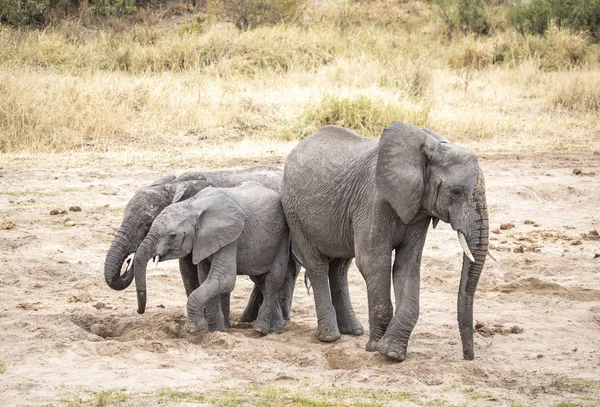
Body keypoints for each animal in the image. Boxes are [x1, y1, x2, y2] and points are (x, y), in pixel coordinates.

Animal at [105, 166, 298, 326]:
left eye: (146, 224)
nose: (128, 261)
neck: (173, 186)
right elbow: (188, 272)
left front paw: (221, 326)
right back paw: (250, 319)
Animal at [282, 122, 488, 362]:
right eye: (456, 192)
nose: (468, 356)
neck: (430, 146)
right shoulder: (372, 201)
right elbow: (374, 263)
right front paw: (376, 348)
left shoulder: (417, 210)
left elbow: (406, 267)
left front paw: (392, 352)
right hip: (294, 212)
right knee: (317, 266)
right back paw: (329, 336)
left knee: (340, 267)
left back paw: (353, 330)